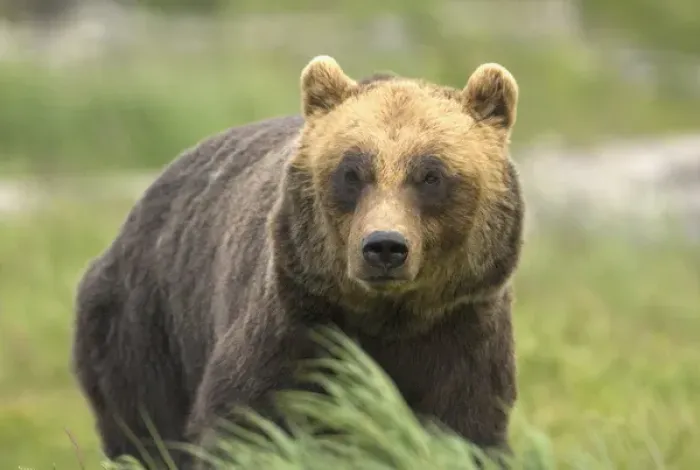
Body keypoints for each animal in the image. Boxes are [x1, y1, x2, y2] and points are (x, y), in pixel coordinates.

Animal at [71, 55, 524, 469]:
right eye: (351, 172)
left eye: (431, 175)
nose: (384, 247)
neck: (389, 317)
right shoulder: (297, 319)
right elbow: (244, 418)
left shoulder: (461, 329)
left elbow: (466, 427)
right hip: (146, 325)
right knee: (145, 430)